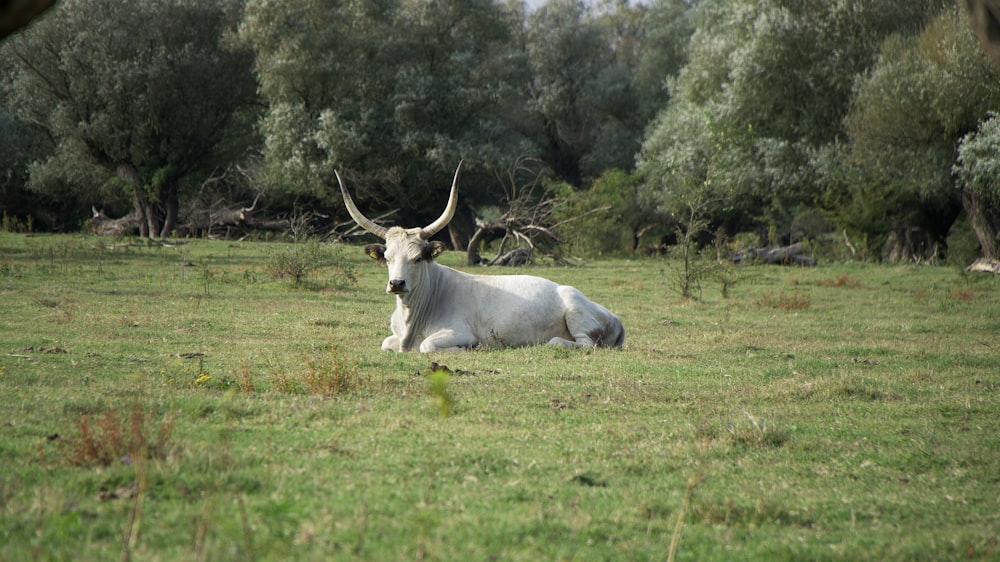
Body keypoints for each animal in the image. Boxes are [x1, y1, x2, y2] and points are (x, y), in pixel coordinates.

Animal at [338, 162, 624, 352]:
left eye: (418, 258)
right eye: (387, 257)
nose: (396, 283)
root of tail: (616, 318)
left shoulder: (457, 331)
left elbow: (427, 346)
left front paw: (467, 348)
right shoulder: (393, 337)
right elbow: (387, 343)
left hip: (576, 314)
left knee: (581, 344)